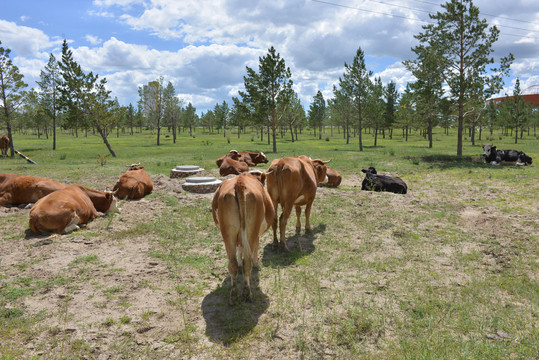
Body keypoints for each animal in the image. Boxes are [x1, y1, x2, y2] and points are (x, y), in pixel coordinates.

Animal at [212, 172, 276, 304]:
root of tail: (240, 181)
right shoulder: (256, 235)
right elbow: (255, 248)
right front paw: (257, 264)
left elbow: (240, 249)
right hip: (252, 231)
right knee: (248, 263)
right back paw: (247, 293)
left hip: (228, 233)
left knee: (233, 264)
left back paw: (234, 295)